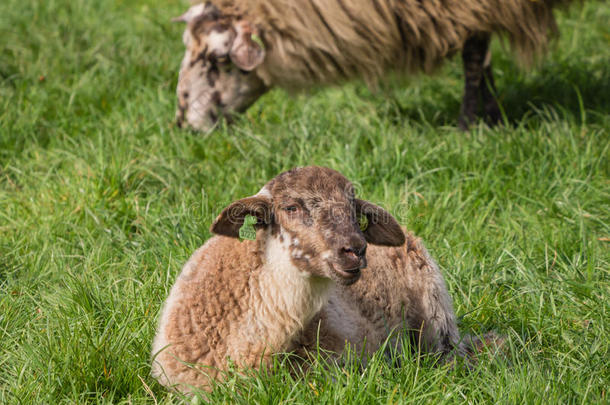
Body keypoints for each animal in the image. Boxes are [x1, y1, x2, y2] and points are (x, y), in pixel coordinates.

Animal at [171, 0, 576, 130]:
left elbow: (474, 54)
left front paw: (466, 126)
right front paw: (492, 117)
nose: (182, 124)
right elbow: (482, 54)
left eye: (219, 59)